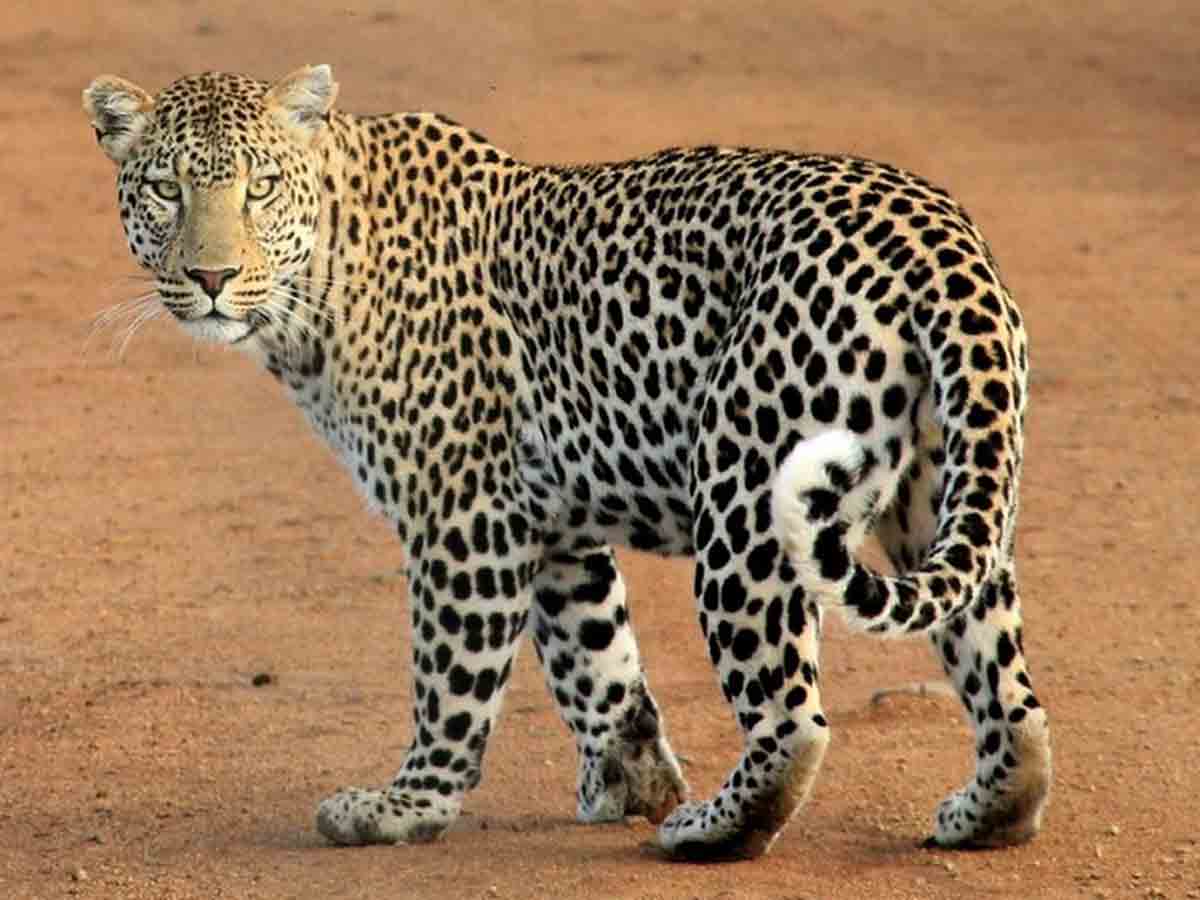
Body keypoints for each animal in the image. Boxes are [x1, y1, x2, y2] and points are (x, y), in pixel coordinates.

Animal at [83, 64, 1051, 861]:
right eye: (167, 190)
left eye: (260, 189)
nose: (211, 278)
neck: (321, 277)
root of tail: (938, 239)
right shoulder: (550, 523)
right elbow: (598, 661)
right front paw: (631, 780)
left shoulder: (464, 515)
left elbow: (452, 678)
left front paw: (406, 807)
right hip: (944, 492)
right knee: (1007, 688)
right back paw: (986, 813)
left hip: (746, 497)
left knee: (791, 718)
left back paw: (710, 830)